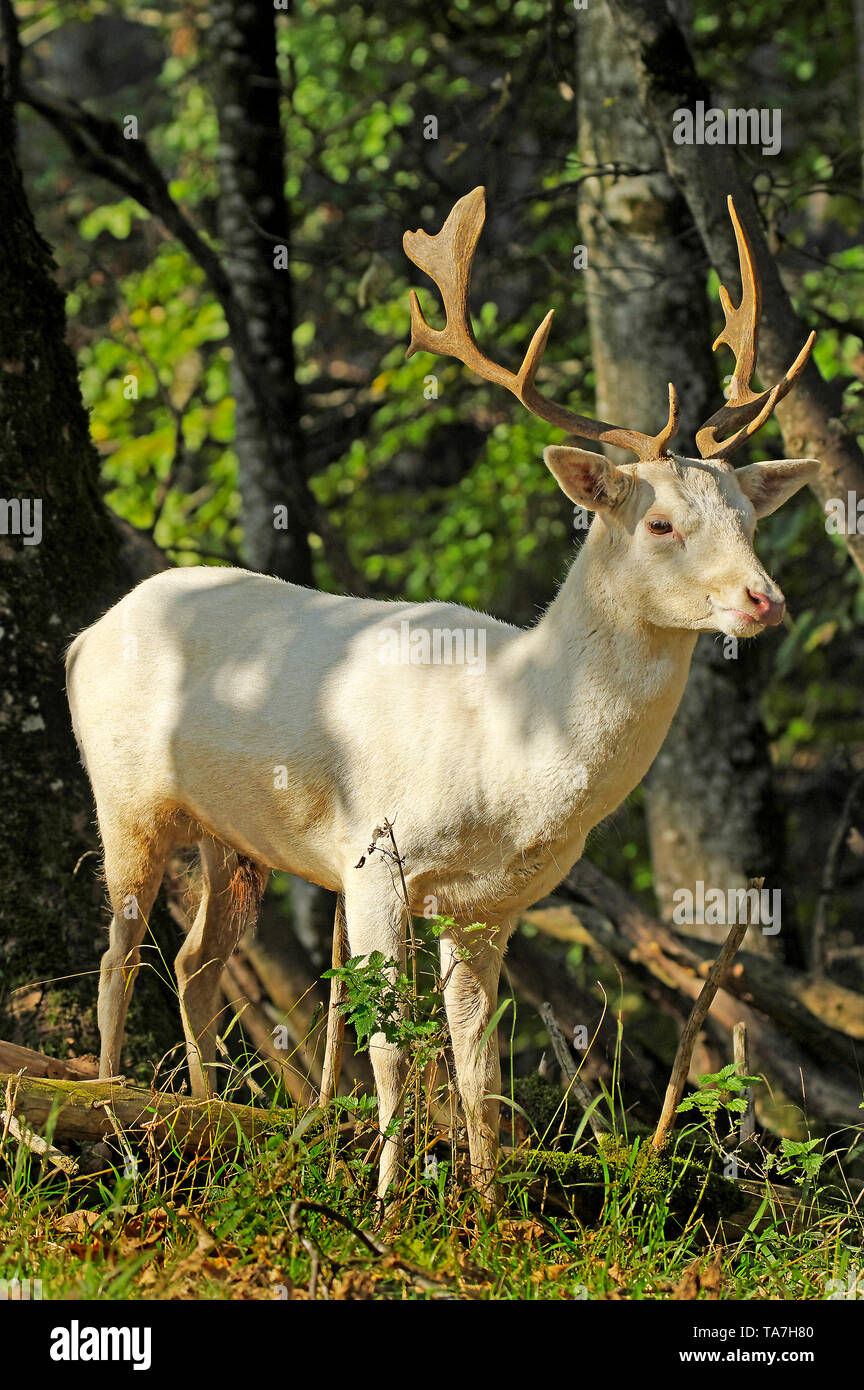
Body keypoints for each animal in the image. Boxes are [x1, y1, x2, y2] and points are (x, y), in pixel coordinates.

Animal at [67, 190, 816, 1200]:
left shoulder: (491, 904)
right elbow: (389, 1048)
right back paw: (112, 1109)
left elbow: (478, 1067)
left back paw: (207, 1115)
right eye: (660, 523)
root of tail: (85, 633)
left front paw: (490, 1209)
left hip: (235, 837)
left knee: (195, 963)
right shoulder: (373, 857)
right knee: (118, 955)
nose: (762, 598)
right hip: (125, 795)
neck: (506, 744)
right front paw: (388, 1207)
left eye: (746, 518)